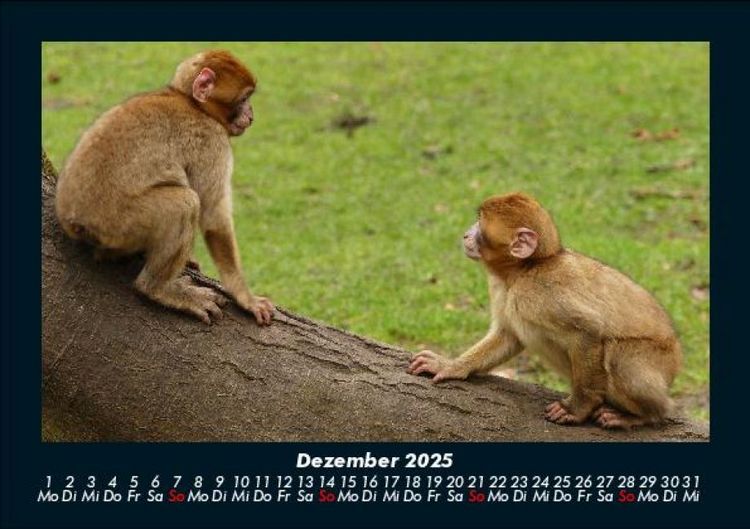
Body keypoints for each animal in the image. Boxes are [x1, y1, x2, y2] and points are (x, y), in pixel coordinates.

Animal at [55, 50, 274, 326]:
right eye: (244, 98)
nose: (251, 116)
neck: (191, 102)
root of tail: (73, 222)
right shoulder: (213, 142)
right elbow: (213, 217)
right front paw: (245, 297)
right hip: (119, 223)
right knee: (185, 203)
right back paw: (157, 288)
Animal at [407, 192, 682, 429]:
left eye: (480, 224)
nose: (465, 235)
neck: (524, 269)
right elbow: (509, 336)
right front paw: (451, 365)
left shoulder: (538, 293)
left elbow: (589, 332)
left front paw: (578, 409)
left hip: (659, 359)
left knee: (619, 357)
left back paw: (647, 415)